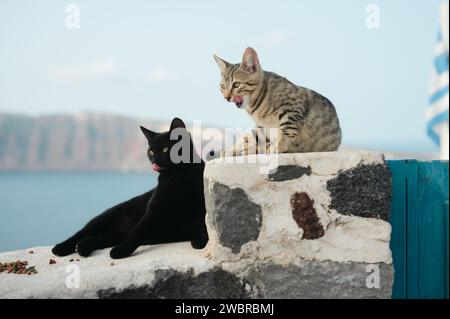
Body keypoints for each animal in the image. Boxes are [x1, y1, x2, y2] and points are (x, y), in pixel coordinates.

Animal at [52, 117, 209, 260]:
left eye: (165, 149)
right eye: (151, 152)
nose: (154, 160)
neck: (176, 176)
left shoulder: (200, 205)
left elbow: (203, 224)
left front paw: (200, 240)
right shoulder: (152, 212)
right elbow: (137, 233)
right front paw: (121, 251)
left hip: (112, 236)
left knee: (94, 238)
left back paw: (82, 247)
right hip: (102, 219)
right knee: (80, 233)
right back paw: (61, 248)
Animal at [214, 47, 342, 156]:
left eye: (236, 84)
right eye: (222, 86)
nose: (226, 97)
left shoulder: (293, 108)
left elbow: (287, 129)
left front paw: (279, 146)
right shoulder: (261, 126)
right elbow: (256, 137)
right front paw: (233, 150)